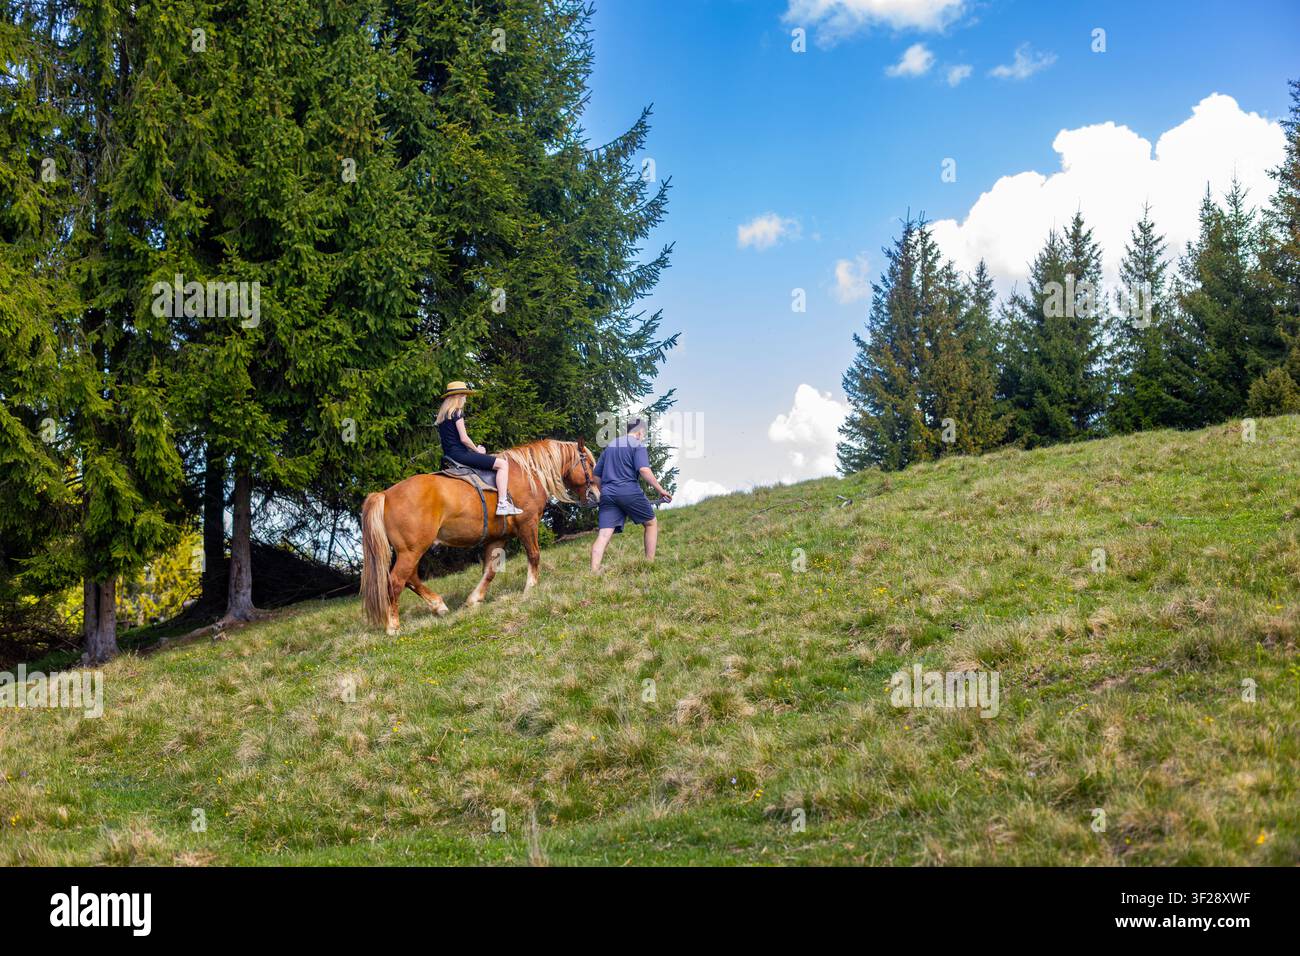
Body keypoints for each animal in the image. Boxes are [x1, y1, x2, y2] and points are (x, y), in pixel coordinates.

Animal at [360, 438, 599, 633]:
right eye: (590, 464)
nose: (596, 494)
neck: (526, 474)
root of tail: (385, 494)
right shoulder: (528, 524)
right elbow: (533, 554)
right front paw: (530, 587)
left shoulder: (498, 537)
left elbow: (490, 570)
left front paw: (475, 599)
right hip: (412, 550)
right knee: (396, 581)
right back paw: (393, 625)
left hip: (412, 550)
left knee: (410, 578)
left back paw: (438, 605)